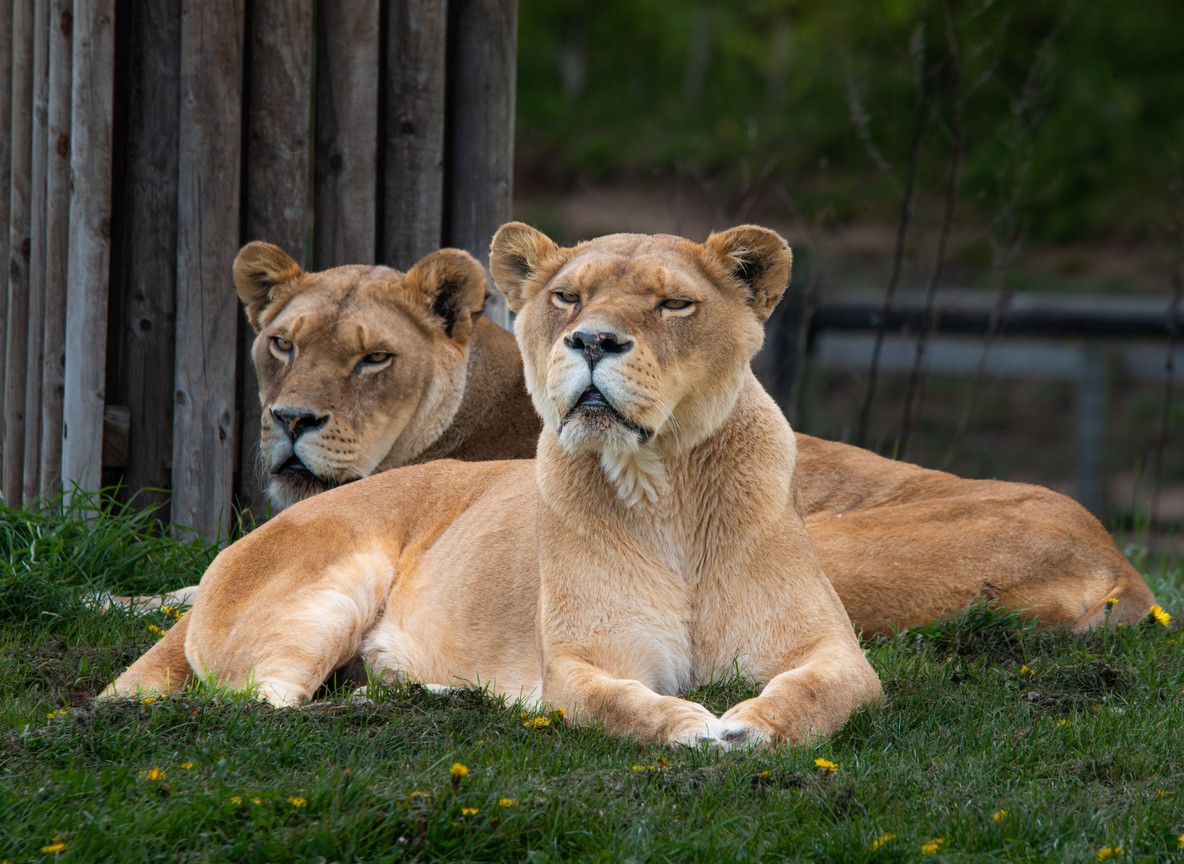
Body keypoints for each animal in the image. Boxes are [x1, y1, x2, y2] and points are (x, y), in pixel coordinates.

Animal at [106, 223, 882, 747]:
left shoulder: (838, 655)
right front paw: (692, 727)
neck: (667, 488)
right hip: (326, 591)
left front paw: (750, 728)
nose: (592, 340)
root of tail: (231, 554)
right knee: (262, 706)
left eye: (673, 305)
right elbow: (618, 705)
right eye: (568, 298)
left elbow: (816, 694)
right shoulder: (580, 663)